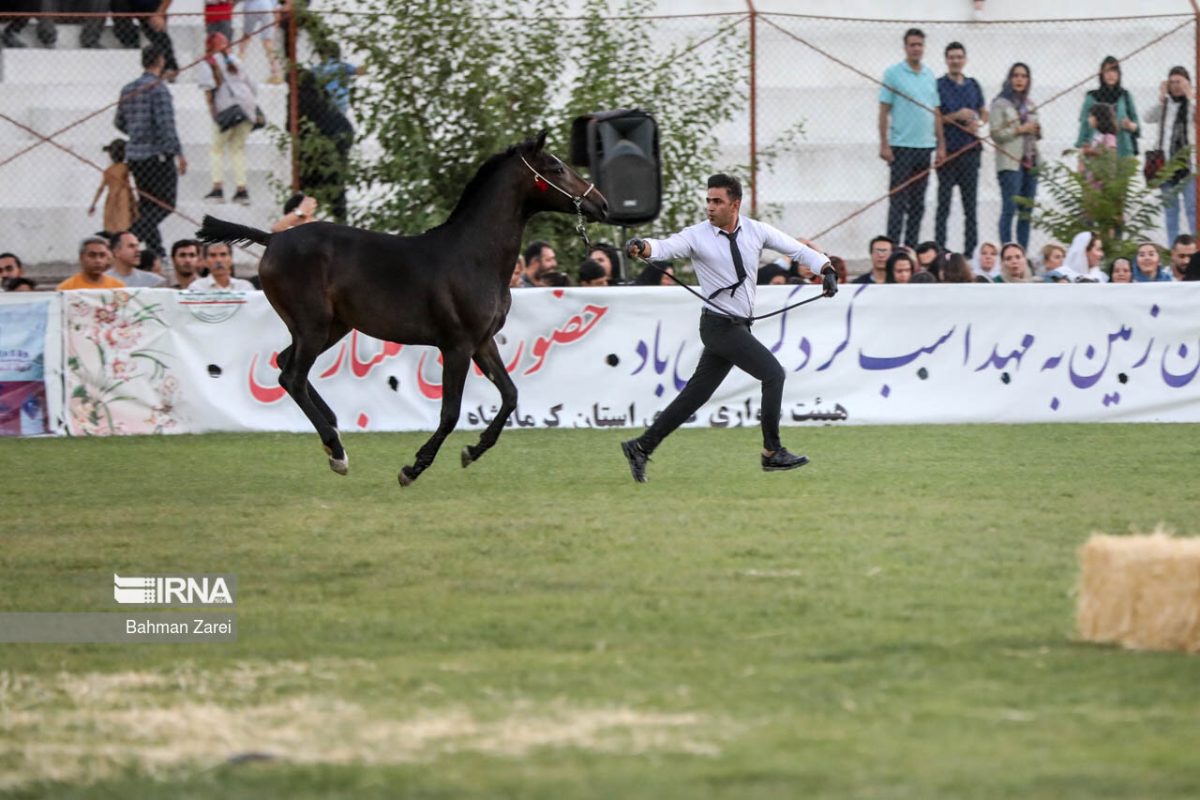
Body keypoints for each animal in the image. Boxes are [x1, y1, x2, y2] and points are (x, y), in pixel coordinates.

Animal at [196, 131, 608, 486]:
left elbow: (510, 396)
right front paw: (413, 468)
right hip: (313, 325)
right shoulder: (457, 346)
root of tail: (272, 238)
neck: (475, 256)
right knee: (291, 377)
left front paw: (472, 451)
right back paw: (337, 451)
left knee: (285, 364)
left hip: (332, 327)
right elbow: (450, 413)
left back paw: (333, 428)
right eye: (556, 168)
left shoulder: (482, 342)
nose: (601, 204)